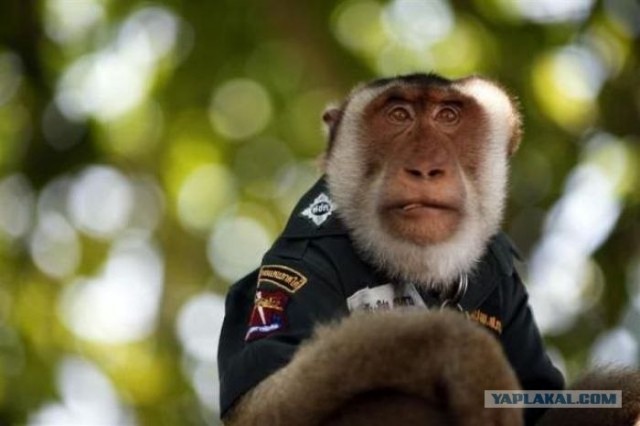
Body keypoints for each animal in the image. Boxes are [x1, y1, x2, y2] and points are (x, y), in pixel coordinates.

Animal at [217, 73, 564, 426]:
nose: (425, 167)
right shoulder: (301, 263)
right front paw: (469, 356)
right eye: (398, 115)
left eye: (448, 115)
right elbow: (260, 407)